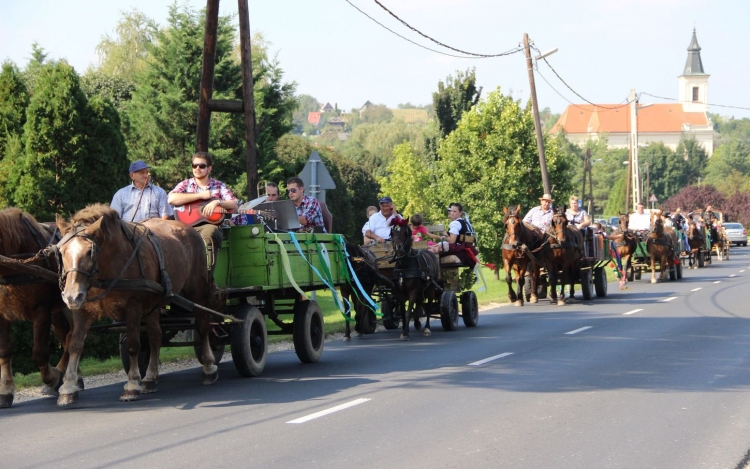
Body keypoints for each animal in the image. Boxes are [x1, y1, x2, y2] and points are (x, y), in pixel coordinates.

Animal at [0, 208, 80, 406]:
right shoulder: (1, 314)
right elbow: (4, 351)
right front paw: (5, 390)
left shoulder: (41, 311)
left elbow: (39, 354)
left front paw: (52, 377)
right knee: (65, 335)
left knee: (71, 337)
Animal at [55, 205, 214, 406]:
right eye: (62, 252)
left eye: (89, 252)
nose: (71, 296)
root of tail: (192, 231)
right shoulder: (82, 310)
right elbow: (75, 345)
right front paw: (68, 388)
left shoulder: (133, 307)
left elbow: (133, 345)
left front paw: (131, 385)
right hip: (154, 304)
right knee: (155, 336)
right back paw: (150, 378)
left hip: (197, 292)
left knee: (202, 326)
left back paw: (209, 367)